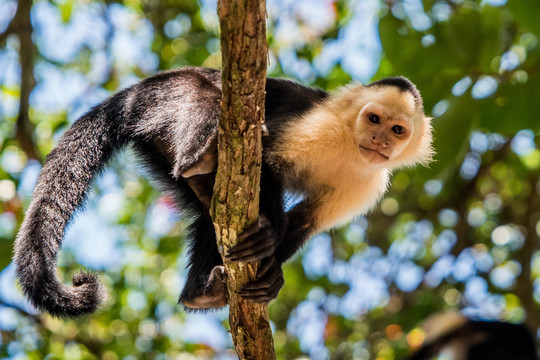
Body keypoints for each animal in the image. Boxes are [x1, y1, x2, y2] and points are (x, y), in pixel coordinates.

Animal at [12, 66, 434, 316]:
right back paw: (201, 155)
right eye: (373, 118)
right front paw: (269, 231)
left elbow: (305, 222)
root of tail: (141, 88)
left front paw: (271, 272)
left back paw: (200, 291)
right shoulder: (318, 127)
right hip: (170, 98)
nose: (380, 139)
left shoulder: (369, 183)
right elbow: (266, 159)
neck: (348, 144)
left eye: (397, 129)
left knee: (207, 212)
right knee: (206, 99)